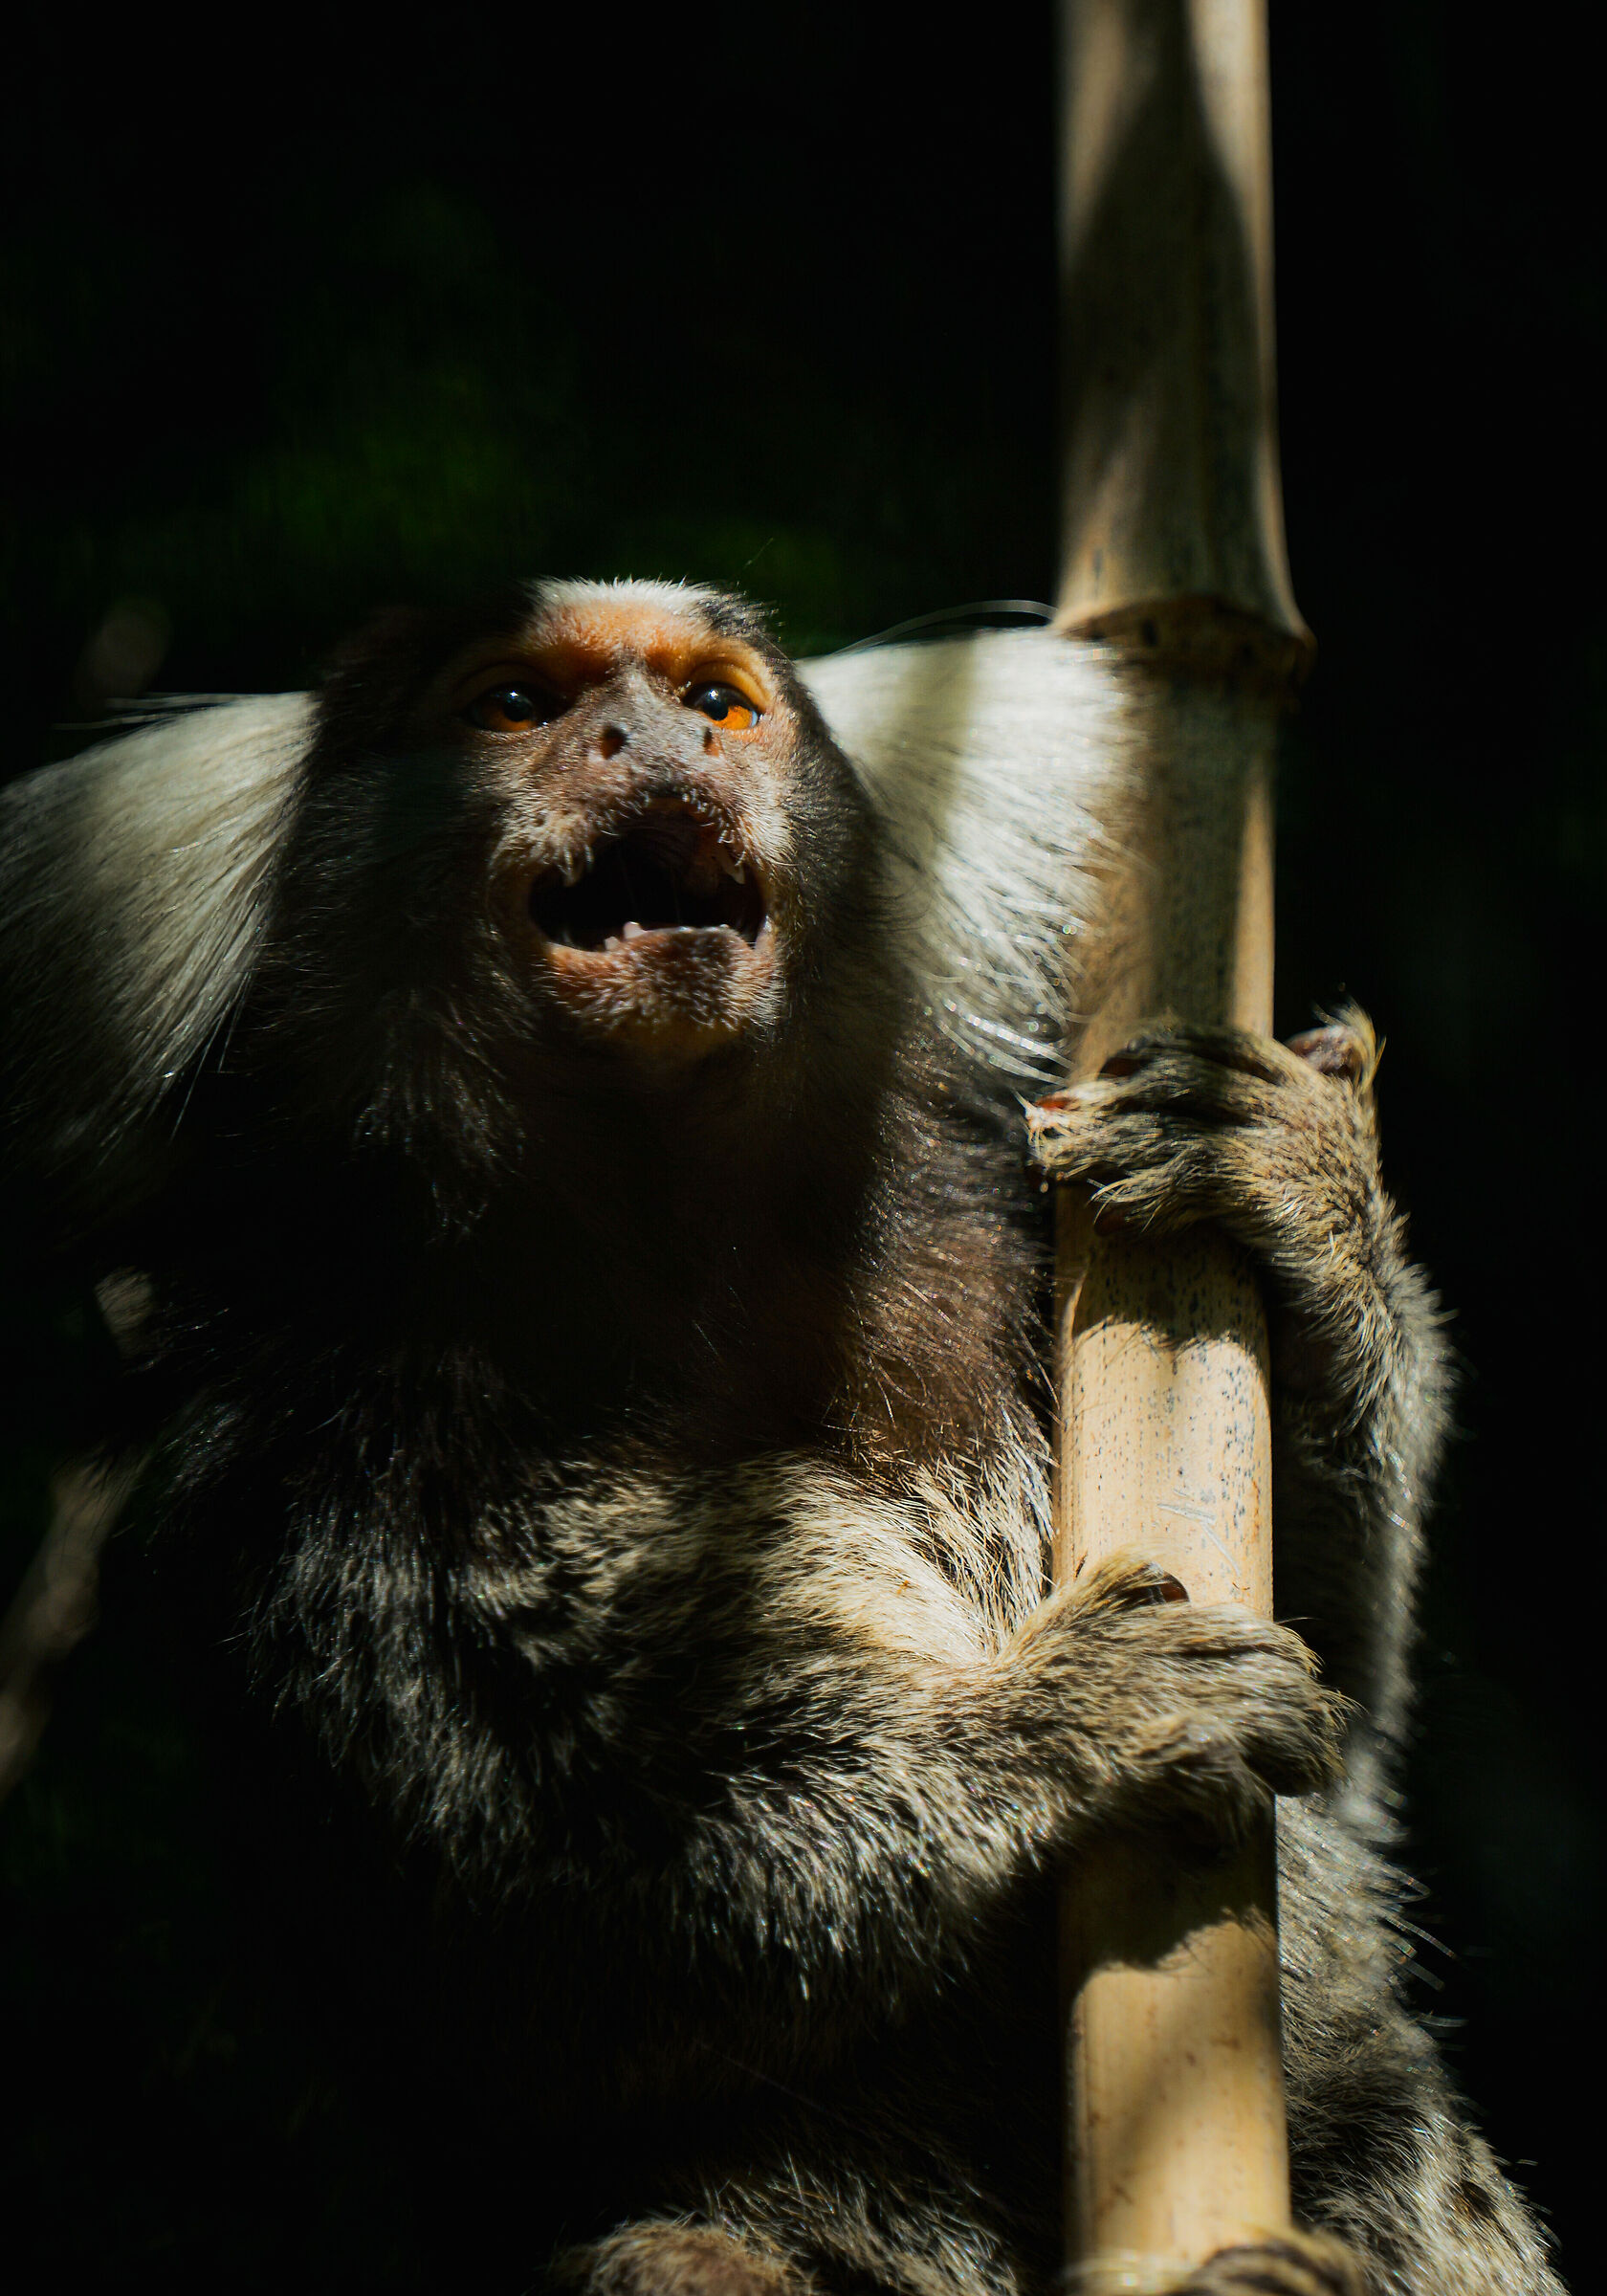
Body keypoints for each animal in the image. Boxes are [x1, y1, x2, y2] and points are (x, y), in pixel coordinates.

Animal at [0, 578, 1564, 2296]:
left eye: (716, 704)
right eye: (517, 704)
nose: (651, 742)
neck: (683, 1228)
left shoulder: (1008, 1222)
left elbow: (1344, 1712)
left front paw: (1305, 1193)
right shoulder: (316, 1439)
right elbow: (526, 1948)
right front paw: (1057, 1728)